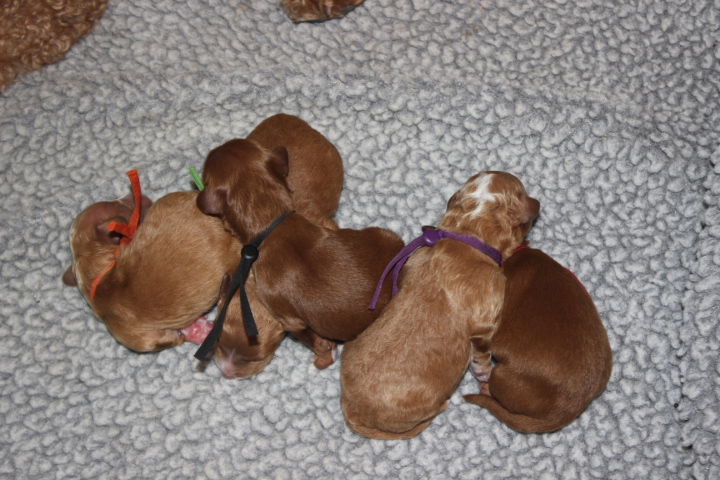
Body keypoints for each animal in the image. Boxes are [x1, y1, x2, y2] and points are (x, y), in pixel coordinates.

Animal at [196, 137, 404, 367]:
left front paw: (323, 355)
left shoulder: (287, 317)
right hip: (386, 234)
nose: (220, 146)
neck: (272, 222)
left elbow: (309, 337)